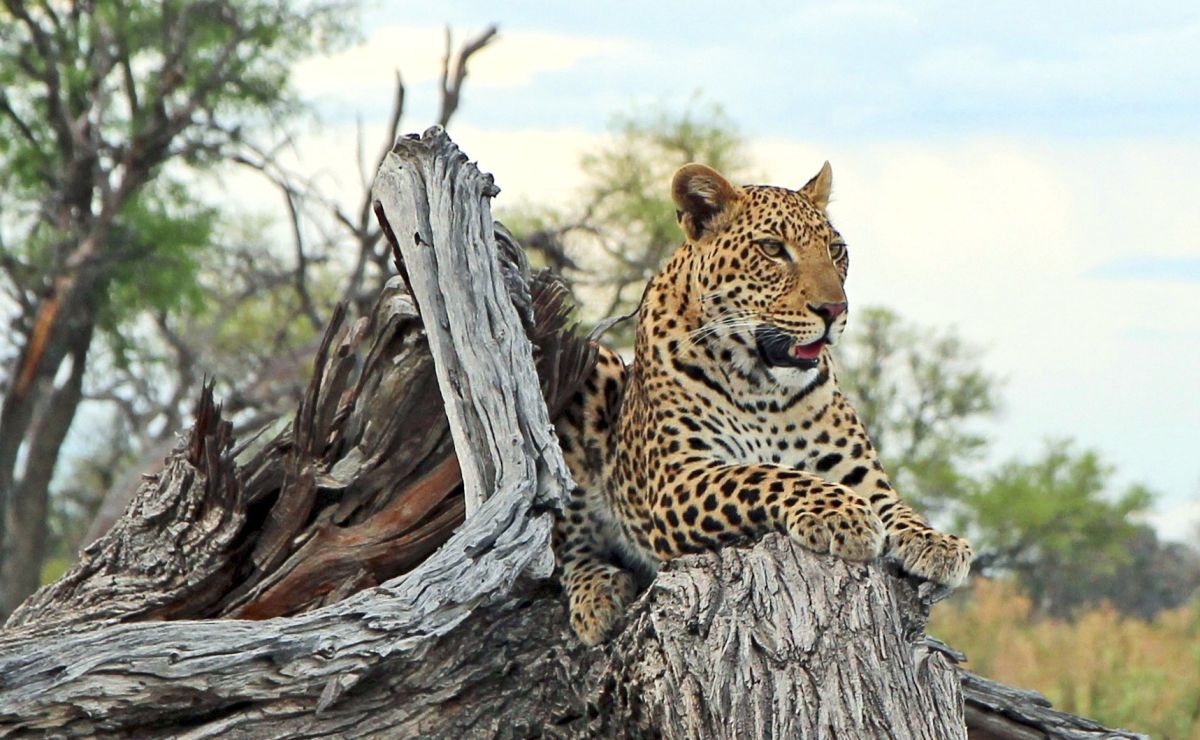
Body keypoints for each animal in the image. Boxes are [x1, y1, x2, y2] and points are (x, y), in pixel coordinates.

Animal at [553, 161, 973, 645]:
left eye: (836, 250)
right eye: (773, 249)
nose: (834, 310)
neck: (763, 387)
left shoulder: (859, 473)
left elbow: (896, 505)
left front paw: (937, 541)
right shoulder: (678, 478)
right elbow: (767, 474)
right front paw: (843, 514)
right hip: (592, 368)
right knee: (570, 542)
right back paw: (597, 596)